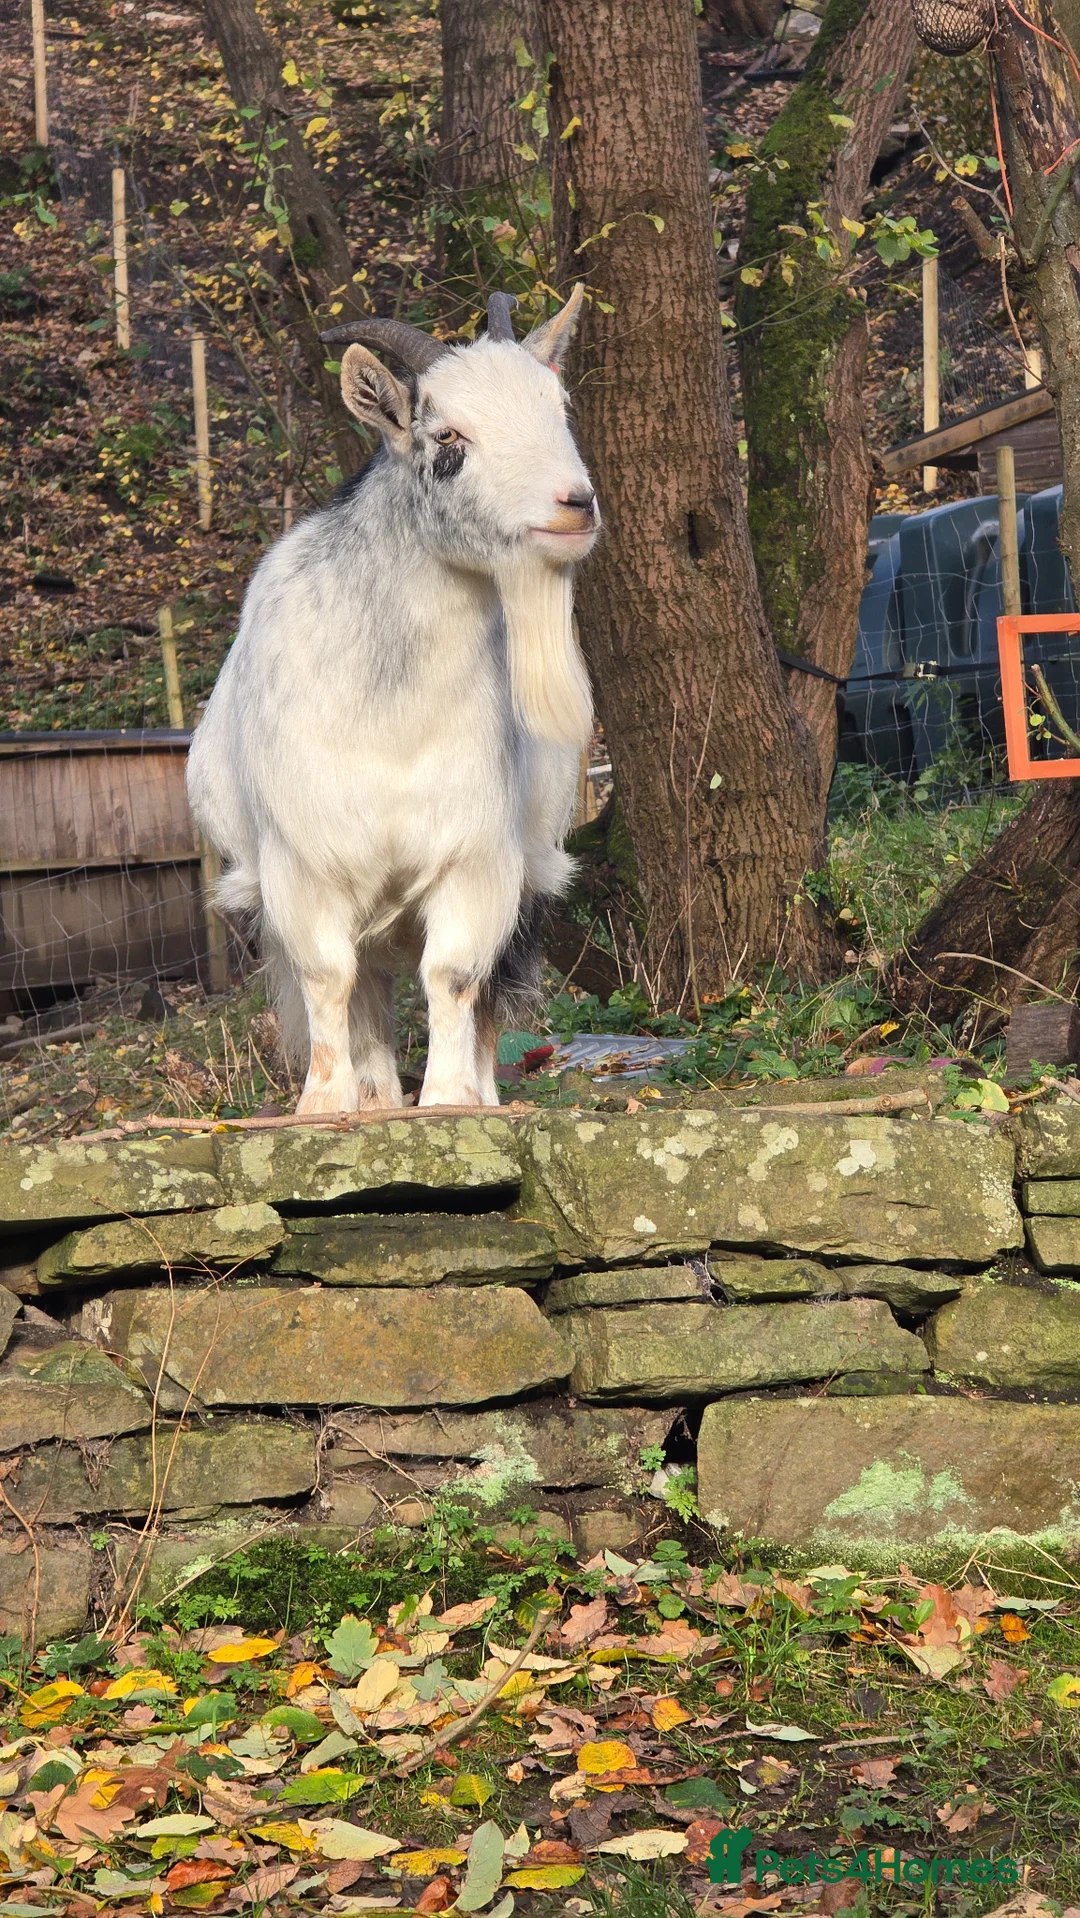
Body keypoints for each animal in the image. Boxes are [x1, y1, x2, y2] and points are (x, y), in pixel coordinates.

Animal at [186, 288, 599, 1113]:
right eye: (448, 434)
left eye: (558, 408)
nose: (576, 504)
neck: (391, 713)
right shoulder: (301, 864)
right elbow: (328, 976)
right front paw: (325, 1108)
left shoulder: (478, 858)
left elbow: (454, 974)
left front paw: (449, 1102)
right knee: (367, 987)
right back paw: (374, 1096)